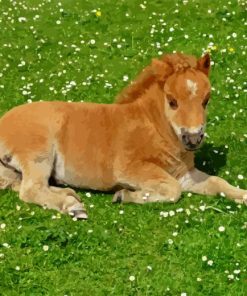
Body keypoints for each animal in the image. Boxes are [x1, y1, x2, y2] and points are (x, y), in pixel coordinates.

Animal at [0, 53, 245, 219]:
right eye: (172, 101)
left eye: (206, 100)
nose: (193, 139)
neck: (155, 127)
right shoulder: (130, 168)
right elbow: (173, 190)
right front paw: (124, 195)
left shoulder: (184, 174)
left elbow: (216, 182)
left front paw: (243, 195)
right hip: (38, 153)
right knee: (30, 190)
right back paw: (73, 206)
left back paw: (69, 194)